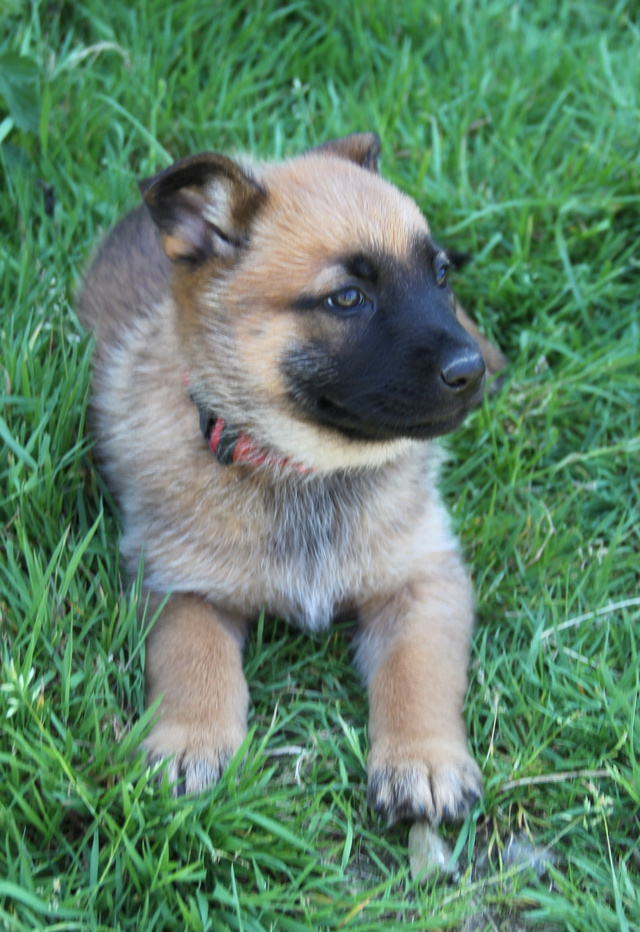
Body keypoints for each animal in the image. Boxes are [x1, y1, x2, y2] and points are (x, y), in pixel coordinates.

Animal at [77, 133, 502, 824]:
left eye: (439, 274)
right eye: (347, 298)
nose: (469, 373)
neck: (306, 469)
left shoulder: (424, 578)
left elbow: (418, 671)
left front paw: (423, 758)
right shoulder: (178, 586)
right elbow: (193, 658)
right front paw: (192, 741)